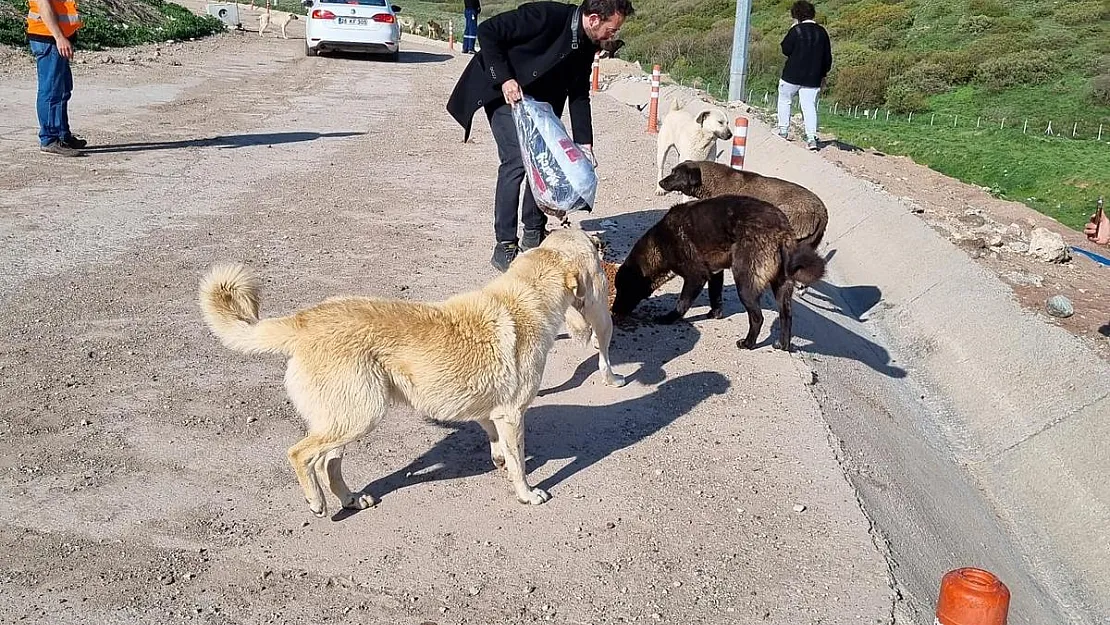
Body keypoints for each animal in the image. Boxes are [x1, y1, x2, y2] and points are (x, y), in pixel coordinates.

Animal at [198, 227, 626, 515]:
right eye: (591, 246)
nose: (603, 243)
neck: (525, 297)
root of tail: (306, 321)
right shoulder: (511, 415)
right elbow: (519, 461)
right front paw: (525, 492)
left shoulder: (491, 413)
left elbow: (498, 446)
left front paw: (499, 462)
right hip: (361, 414)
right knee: (302, 454)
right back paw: (316, 501)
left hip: (347, 416)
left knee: (327, 461)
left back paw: (349, 499)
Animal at [612, 195, 830, 353]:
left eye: (624, 290)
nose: (613, 311)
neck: (659, 243)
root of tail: (782, 230)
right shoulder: (715, 274)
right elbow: (715, 295)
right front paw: (715, 314)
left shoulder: (696, 276)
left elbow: (682, 303)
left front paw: (669, 318)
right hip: (781, 286)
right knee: (786, 316)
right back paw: (783, 345)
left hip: (745, 284)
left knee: (757, 317)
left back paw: (748, 343)